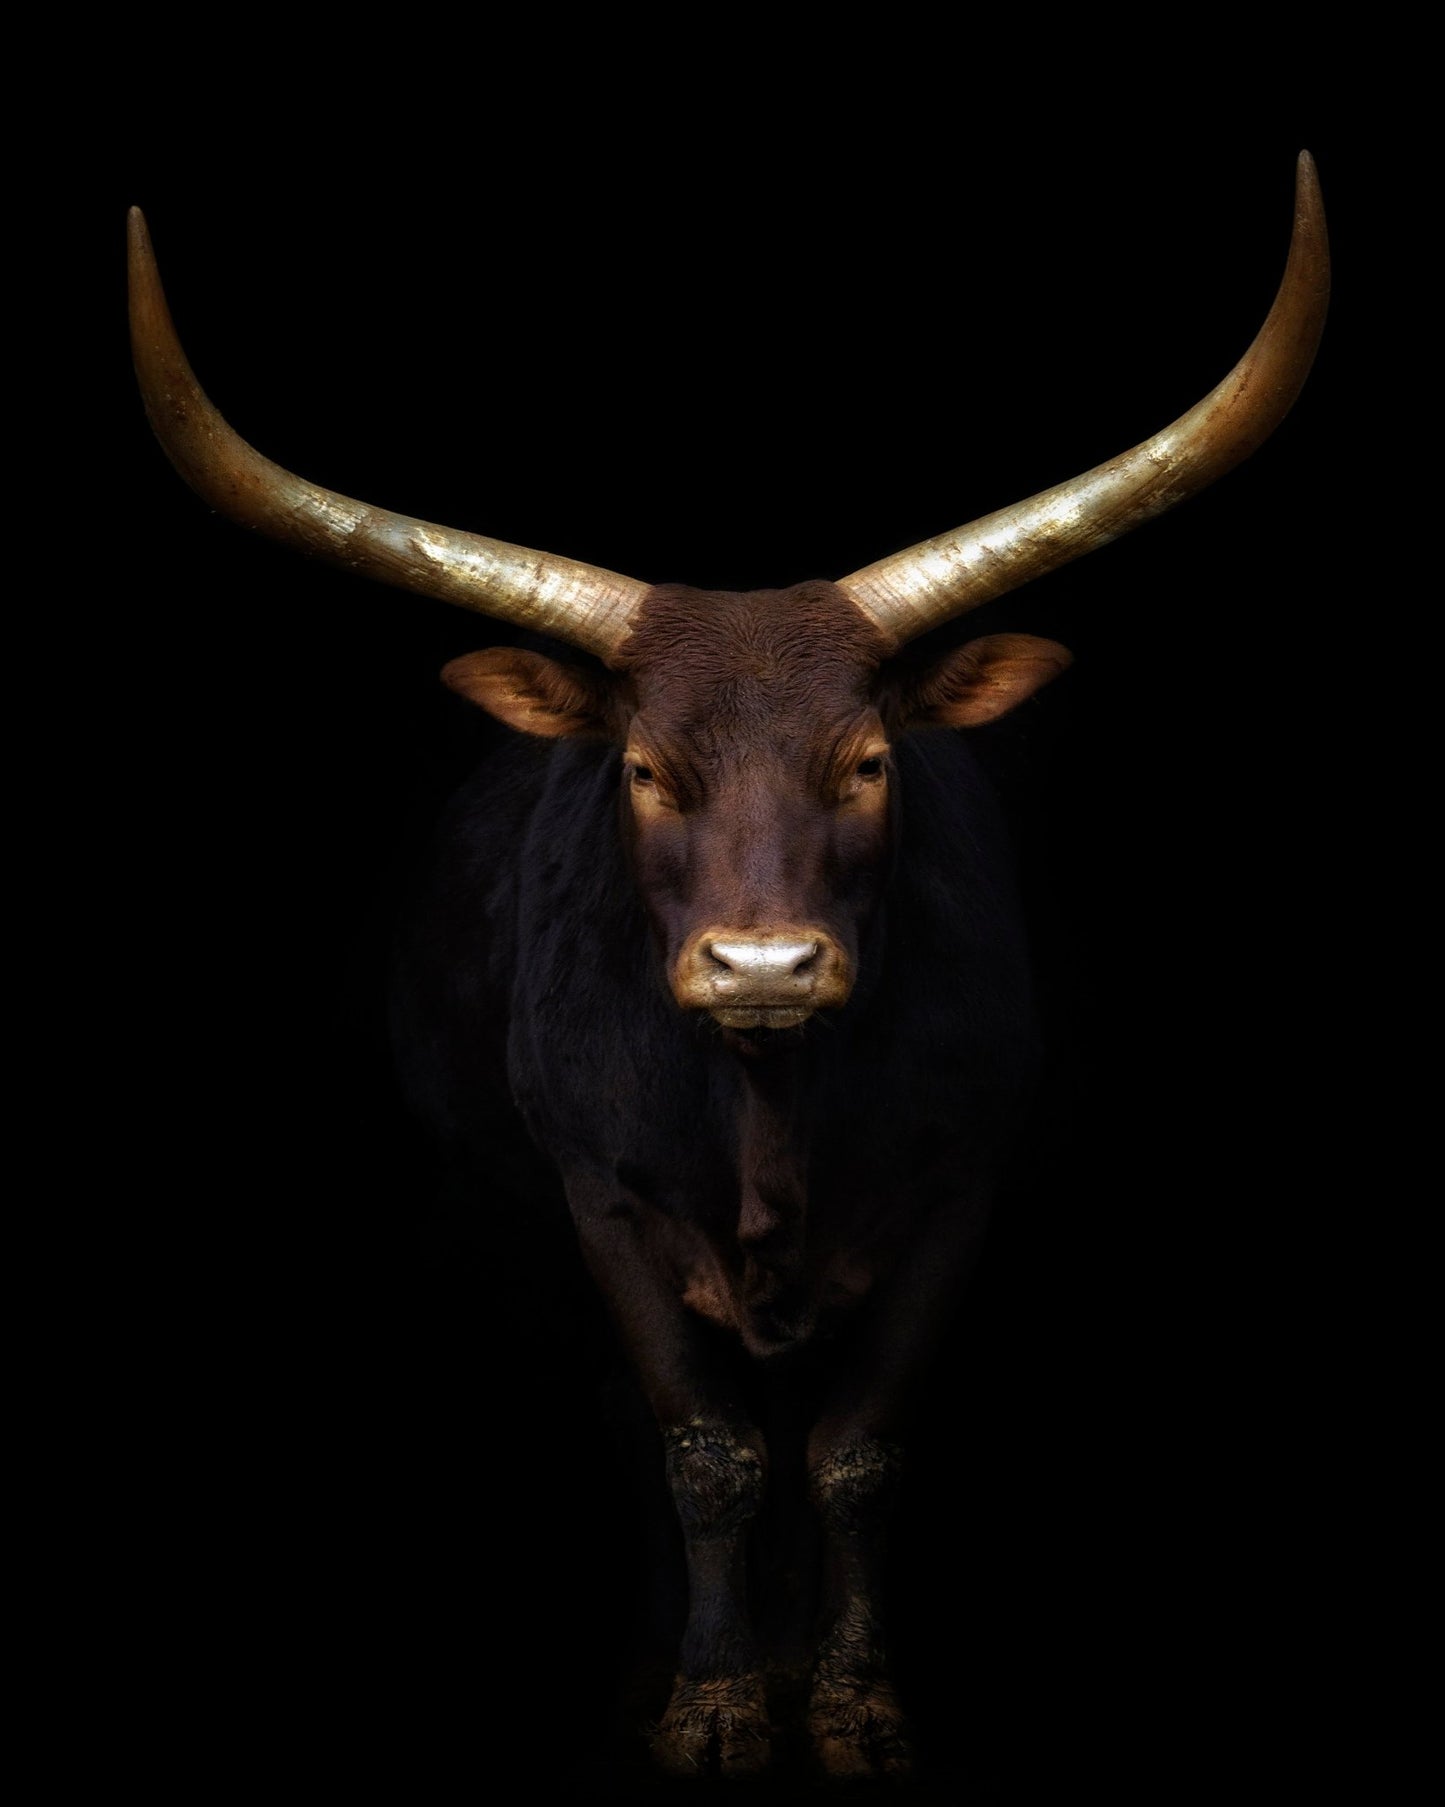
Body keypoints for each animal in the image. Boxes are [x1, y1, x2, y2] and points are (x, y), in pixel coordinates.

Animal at [128, 154, 1328, 1783]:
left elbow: (856, 1452)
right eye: (643, 769)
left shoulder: (957, 1191)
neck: (771, 1116)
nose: (764, 961)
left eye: (871, 759)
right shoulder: (603, 1201)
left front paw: (849, 1699)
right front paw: (710, 1698)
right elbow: (704, 1452)